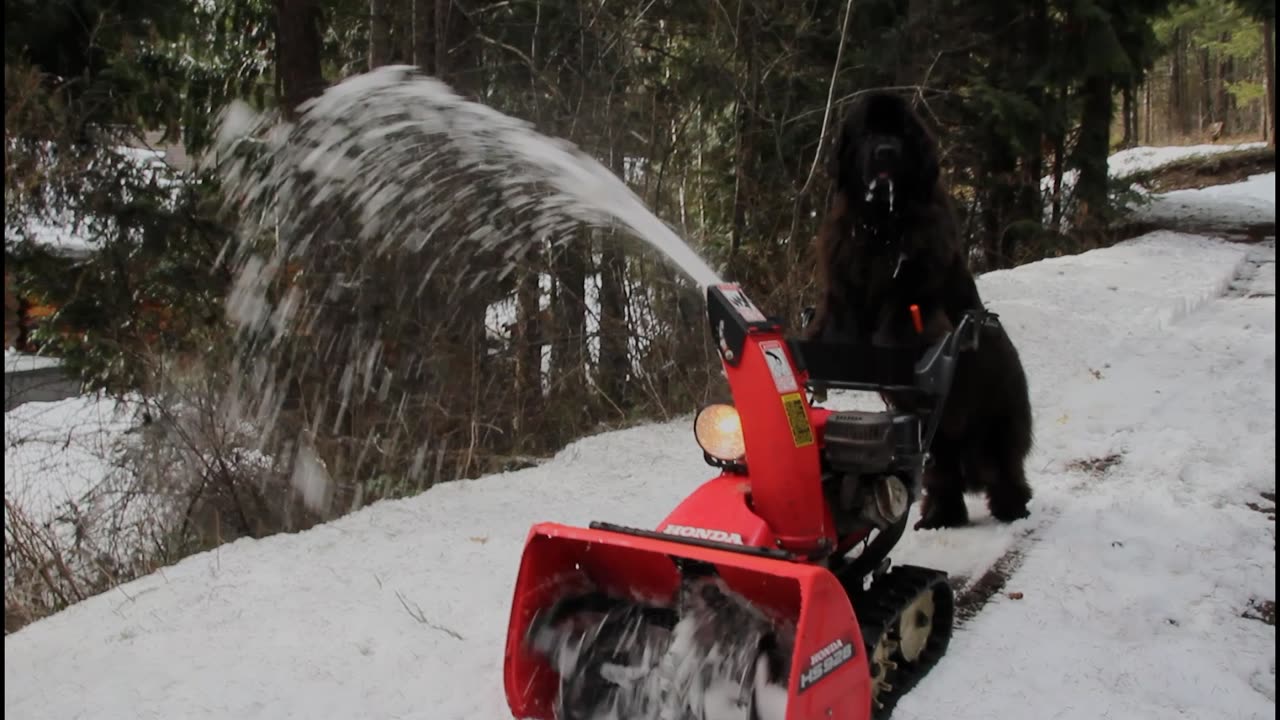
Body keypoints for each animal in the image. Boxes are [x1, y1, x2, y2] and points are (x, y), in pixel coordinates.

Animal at [803, 90, 1034, 527]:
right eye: (867, 132)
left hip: (994, 422)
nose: (885, 151)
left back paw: (1012, 507)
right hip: (942, 436)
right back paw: (940, 515)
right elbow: (838, 322)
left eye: (902, 134)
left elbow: (896, 326)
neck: (880, 226)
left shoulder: (913, 291)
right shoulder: (844, 282)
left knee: (1003, 467)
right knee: (942, 474)